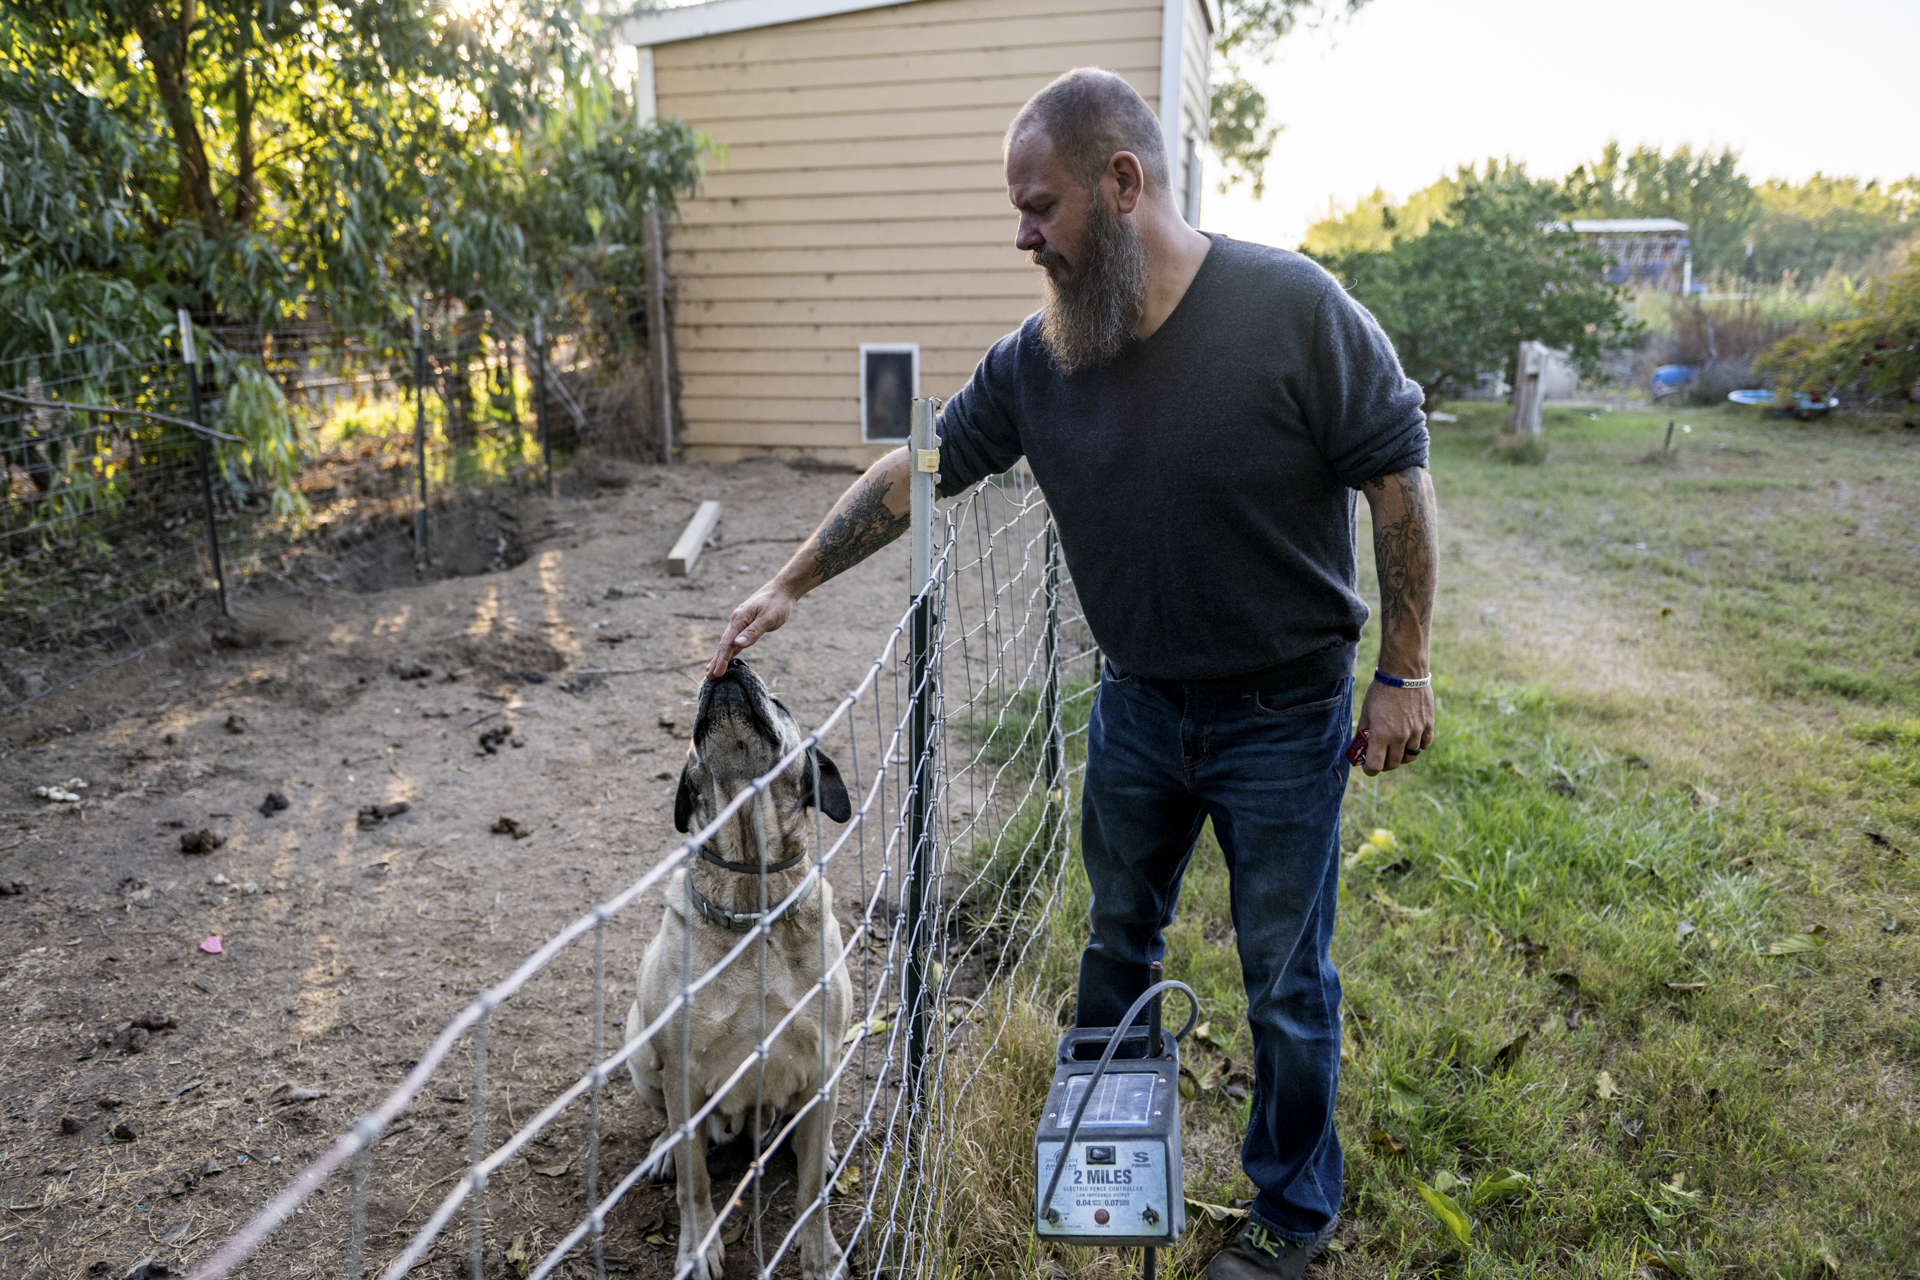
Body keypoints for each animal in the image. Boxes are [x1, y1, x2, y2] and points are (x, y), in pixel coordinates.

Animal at [625, 660, 852, 1280]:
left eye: (782, 702)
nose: (731, 665)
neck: (754, 900)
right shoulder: (681, 1072)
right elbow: (696, 1182)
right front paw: (697, 1246)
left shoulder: (821, 1057)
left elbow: (809, 1193)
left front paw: (820, 1252)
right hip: (639, 1051)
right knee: (677, 1134)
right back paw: (663, 1152)